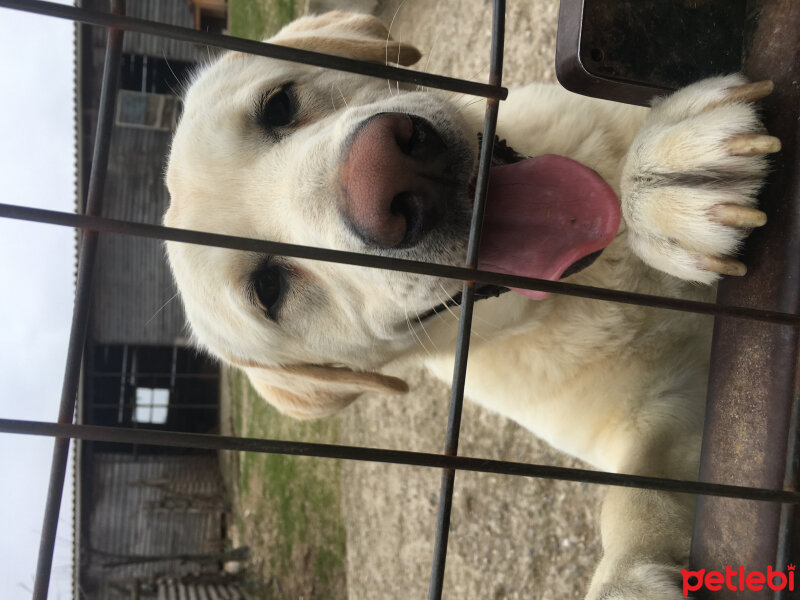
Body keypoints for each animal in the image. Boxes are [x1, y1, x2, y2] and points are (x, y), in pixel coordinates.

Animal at [164, 9, 780, 600]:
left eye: (279, 104)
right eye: (269, 290)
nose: (385, 174)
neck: (597, 278)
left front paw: (661, 182)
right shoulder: (656, 415)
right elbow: (635, 495)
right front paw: (627, 582)